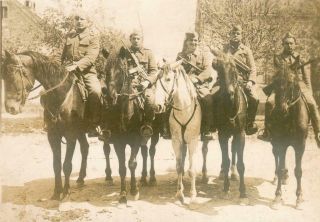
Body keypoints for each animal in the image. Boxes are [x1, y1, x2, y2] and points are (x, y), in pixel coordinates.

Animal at [1, 50, 92, 199]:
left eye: (12, 75)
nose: (10, 108)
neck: (60, 94)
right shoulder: (52, 135)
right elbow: (56, 165)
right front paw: (56, 192)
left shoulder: (70, 135)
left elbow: (67, 165)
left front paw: (65, 192)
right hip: (80, 131)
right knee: (85, 147)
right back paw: (80, 179)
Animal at [154, 60, 201, 206]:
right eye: (157, 80)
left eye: (168, 79)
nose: (156, 106)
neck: (184, 110)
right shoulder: (176, 141)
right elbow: (179, 167)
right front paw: (179, 194)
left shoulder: (193, 141)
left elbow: (192, 169)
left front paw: (193, 195)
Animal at [268, 62, 308, 210]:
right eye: (274, 81)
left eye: (291, 82)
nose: (280, 110)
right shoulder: (281, 143)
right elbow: (280, 168)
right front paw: (277, 197)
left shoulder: (300, 146)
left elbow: (298, 171)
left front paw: (299, 197)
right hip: (274, 143)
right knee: (277, 158)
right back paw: (277, 178)